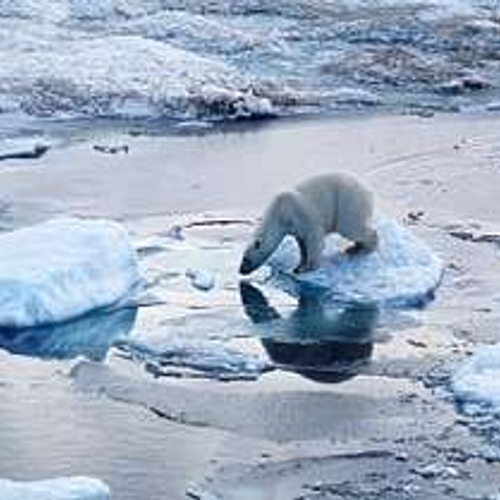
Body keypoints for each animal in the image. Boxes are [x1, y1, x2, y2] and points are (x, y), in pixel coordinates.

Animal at [240, 171, 376, 274]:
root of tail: (368, 191)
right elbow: (302, 244)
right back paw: (354, 247)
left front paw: (307, 268)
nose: (241, 271)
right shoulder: (295, 227)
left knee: (353, 227)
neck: (279, 213)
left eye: (246, 259)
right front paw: (298, 266)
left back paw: (363, 249)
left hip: (348, 203)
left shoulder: (303, 214)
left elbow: (314, 239)